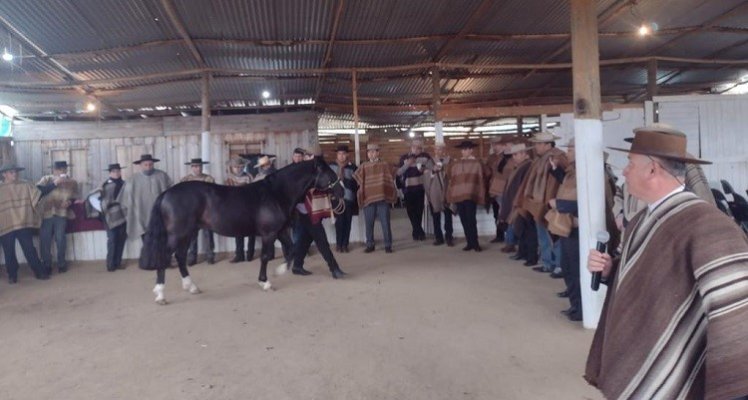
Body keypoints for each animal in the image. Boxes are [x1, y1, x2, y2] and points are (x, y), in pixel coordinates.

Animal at [140, 155, 344, 304]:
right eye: (328, 172)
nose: (341, 191)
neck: (276, 194)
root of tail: (166, 194)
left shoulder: (280, 231)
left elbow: (292, 249)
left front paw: (280, 270)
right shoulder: (269, 234)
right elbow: (265, 256)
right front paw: (266, 282)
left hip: (188, 233)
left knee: (180, 257)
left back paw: (191, 287)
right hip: (178, 234)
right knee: (167, 256)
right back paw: (160, 294)